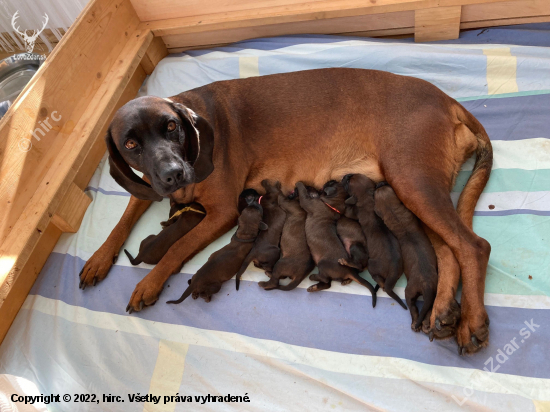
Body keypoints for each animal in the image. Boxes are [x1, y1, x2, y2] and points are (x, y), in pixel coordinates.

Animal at [342, 173, 408, 308]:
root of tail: (393, 273)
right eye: (353, 175)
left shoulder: (354, 212)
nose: (345, 175)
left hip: (371, 266)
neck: (367, 197)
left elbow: (348, 211)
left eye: (348, 182)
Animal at [376, 183, 440, 332]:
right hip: (433, 292)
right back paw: (425, 323)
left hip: (409, 291)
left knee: (413, 307)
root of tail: (426, 286)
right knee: (427, 308)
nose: (380, 183)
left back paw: (415, 323)